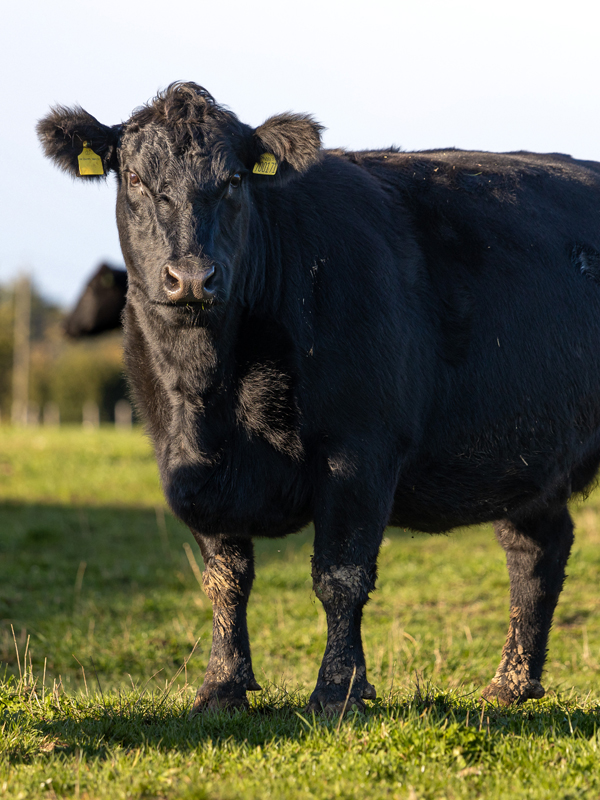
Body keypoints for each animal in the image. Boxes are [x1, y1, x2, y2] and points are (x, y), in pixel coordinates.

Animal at [37, 84, 600, 716]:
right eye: (132, 176)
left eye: (235, 179)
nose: (192, 277)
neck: (213, 396)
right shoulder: (185, 465)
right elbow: (226, 578)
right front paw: (221, 687)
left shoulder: (360, 450)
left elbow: (340, 575)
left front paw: (338, 691)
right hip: (527, 459)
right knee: (536, 553)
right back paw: (510, 684)